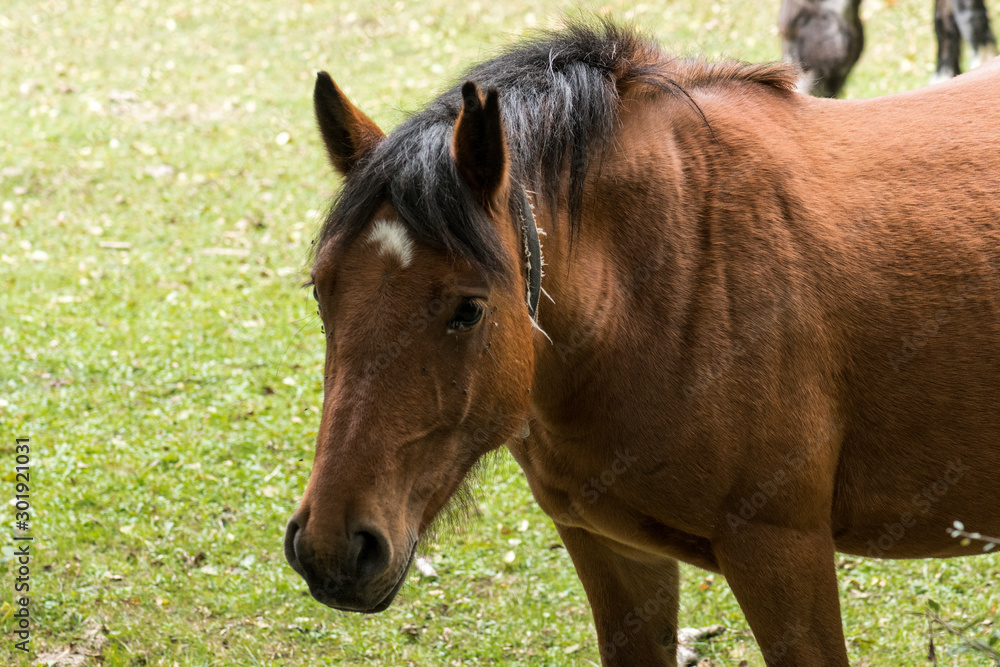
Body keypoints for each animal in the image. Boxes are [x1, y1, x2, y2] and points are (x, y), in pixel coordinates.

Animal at [284, 21, 1000, 666]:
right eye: (320, 290)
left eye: (469, 309)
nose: (332, 548)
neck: (672, 272)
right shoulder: (613, 550)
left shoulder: (782, 551)